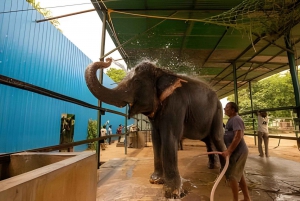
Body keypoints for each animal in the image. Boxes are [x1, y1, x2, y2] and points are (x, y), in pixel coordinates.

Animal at [84, 57, 225, 198]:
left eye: (136, 81)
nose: (108, 59)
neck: (161, 71)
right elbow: (156, 138)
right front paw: (155, 180)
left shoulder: (176, 103)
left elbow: (169, 137)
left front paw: (172, 193)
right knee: (208, 140)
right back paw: (211, 167)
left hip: (218, 111)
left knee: (216, 138)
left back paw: (223, 173)